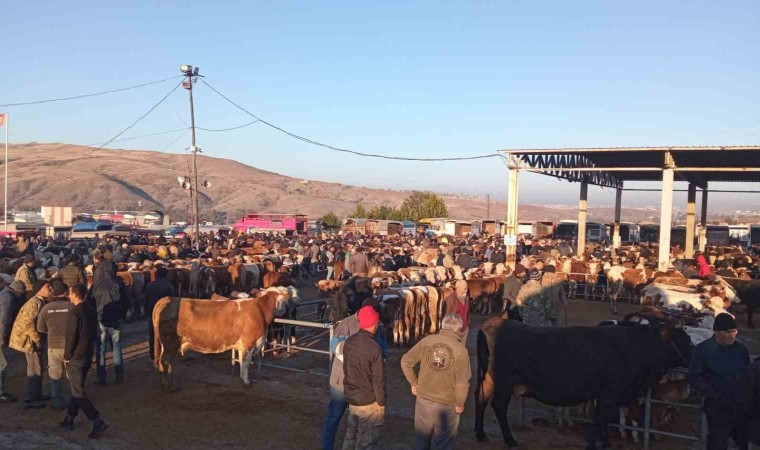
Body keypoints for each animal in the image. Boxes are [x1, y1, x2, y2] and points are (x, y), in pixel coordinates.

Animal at [151, 288, 290, 390]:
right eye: (283, 300)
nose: (284, 312)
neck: (259, 310)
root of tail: (167, 299)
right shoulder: (248, 343)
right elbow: (245, 363)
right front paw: (246, 382)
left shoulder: (243, 345)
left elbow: (241, 362)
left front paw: (242, 379)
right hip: (170, 341)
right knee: (165, 360)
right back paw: (168, 386)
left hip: (166, 343)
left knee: (165, 361)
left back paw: (168, 384)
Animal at [480, 322, 696, 448]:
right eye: (685, 340)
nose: (696, 353)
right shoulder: (608, 394)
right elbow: (599, 419)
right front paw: (595, 443)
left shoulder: (606, 396)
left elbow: (602, 420)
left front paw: (605, 442)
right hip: (505, 382)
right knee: (498, 406)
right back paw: (509, 440)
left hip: (489, 379)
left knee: (480, 398)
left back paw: (480, 433)